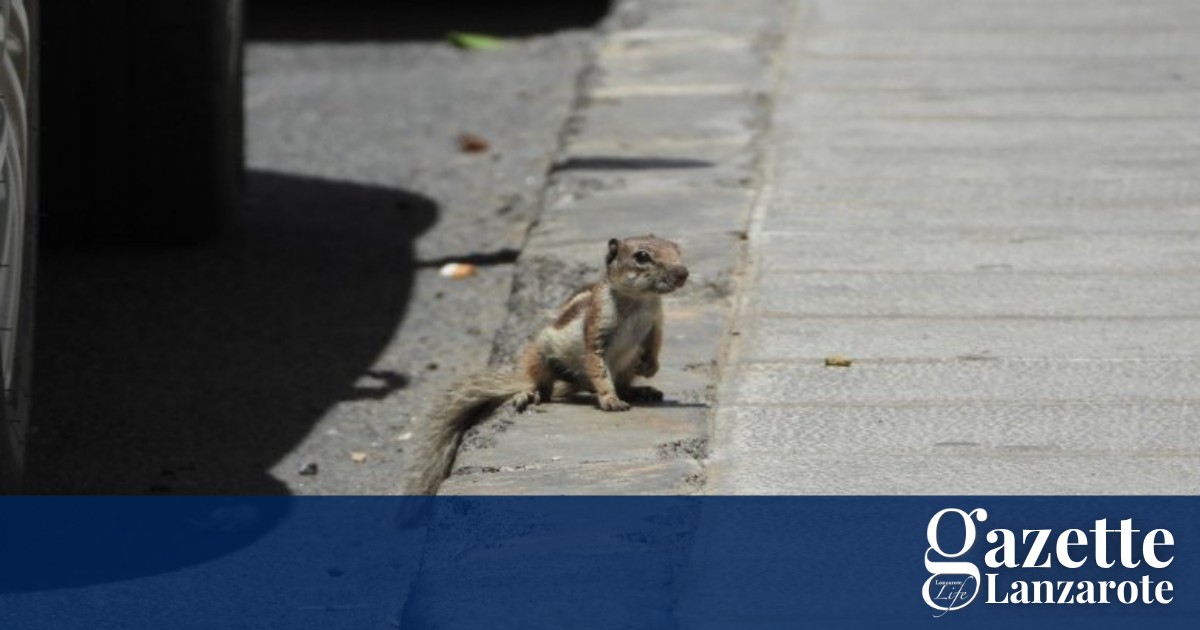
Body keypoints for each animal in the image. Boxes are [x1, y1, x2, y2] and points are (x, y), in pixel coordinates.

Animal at [401, 235, 689, 496]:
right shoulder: (596, 328)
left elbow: (655, 342)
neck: (640, 300)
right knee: (544, 386)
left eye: (677, 249)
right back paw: (530, 393)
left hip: (625, 364)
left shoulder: (656, 321)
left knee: (621, 382)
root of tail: (575, 383)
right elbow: (598, 367)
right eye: (642, 256)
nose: (683, 273)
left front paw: (651, 367)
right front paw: (609, 399)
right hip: (539, 354)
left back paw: (641, 390)